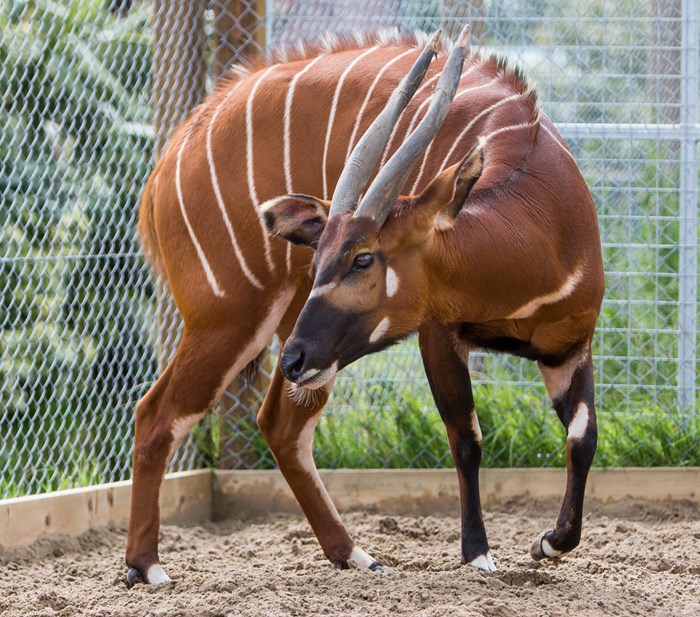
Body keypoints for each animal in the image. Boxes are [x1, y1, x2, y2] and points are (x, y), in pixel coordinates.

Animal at [129, 25, 604, 584]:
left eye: (361, 259)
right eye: (322, 259)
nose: (293, 360)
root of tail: (170, 159)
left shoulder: (568, 348)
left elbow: (583, 438)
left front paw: (549, 542)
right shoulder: (438, 337)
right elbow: (465, 437)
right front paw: (478, 554)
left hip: (299, 344)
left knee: (279, 424)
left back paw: (352, 554)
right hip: (233, 322)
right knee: (156, 413)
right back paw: (146, 566)